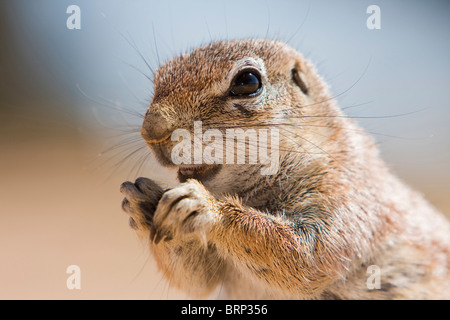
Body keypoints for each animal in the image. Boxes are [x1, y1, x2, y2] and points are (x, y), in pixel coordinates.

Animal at [119, 38, 450, 298]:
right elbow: (198, 279)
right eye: (159, 77)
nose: (151, 130)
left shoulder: (345, 193)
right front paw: (142, 201)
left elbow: (306, 257)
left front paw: (207, 207)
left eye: (247, 81)